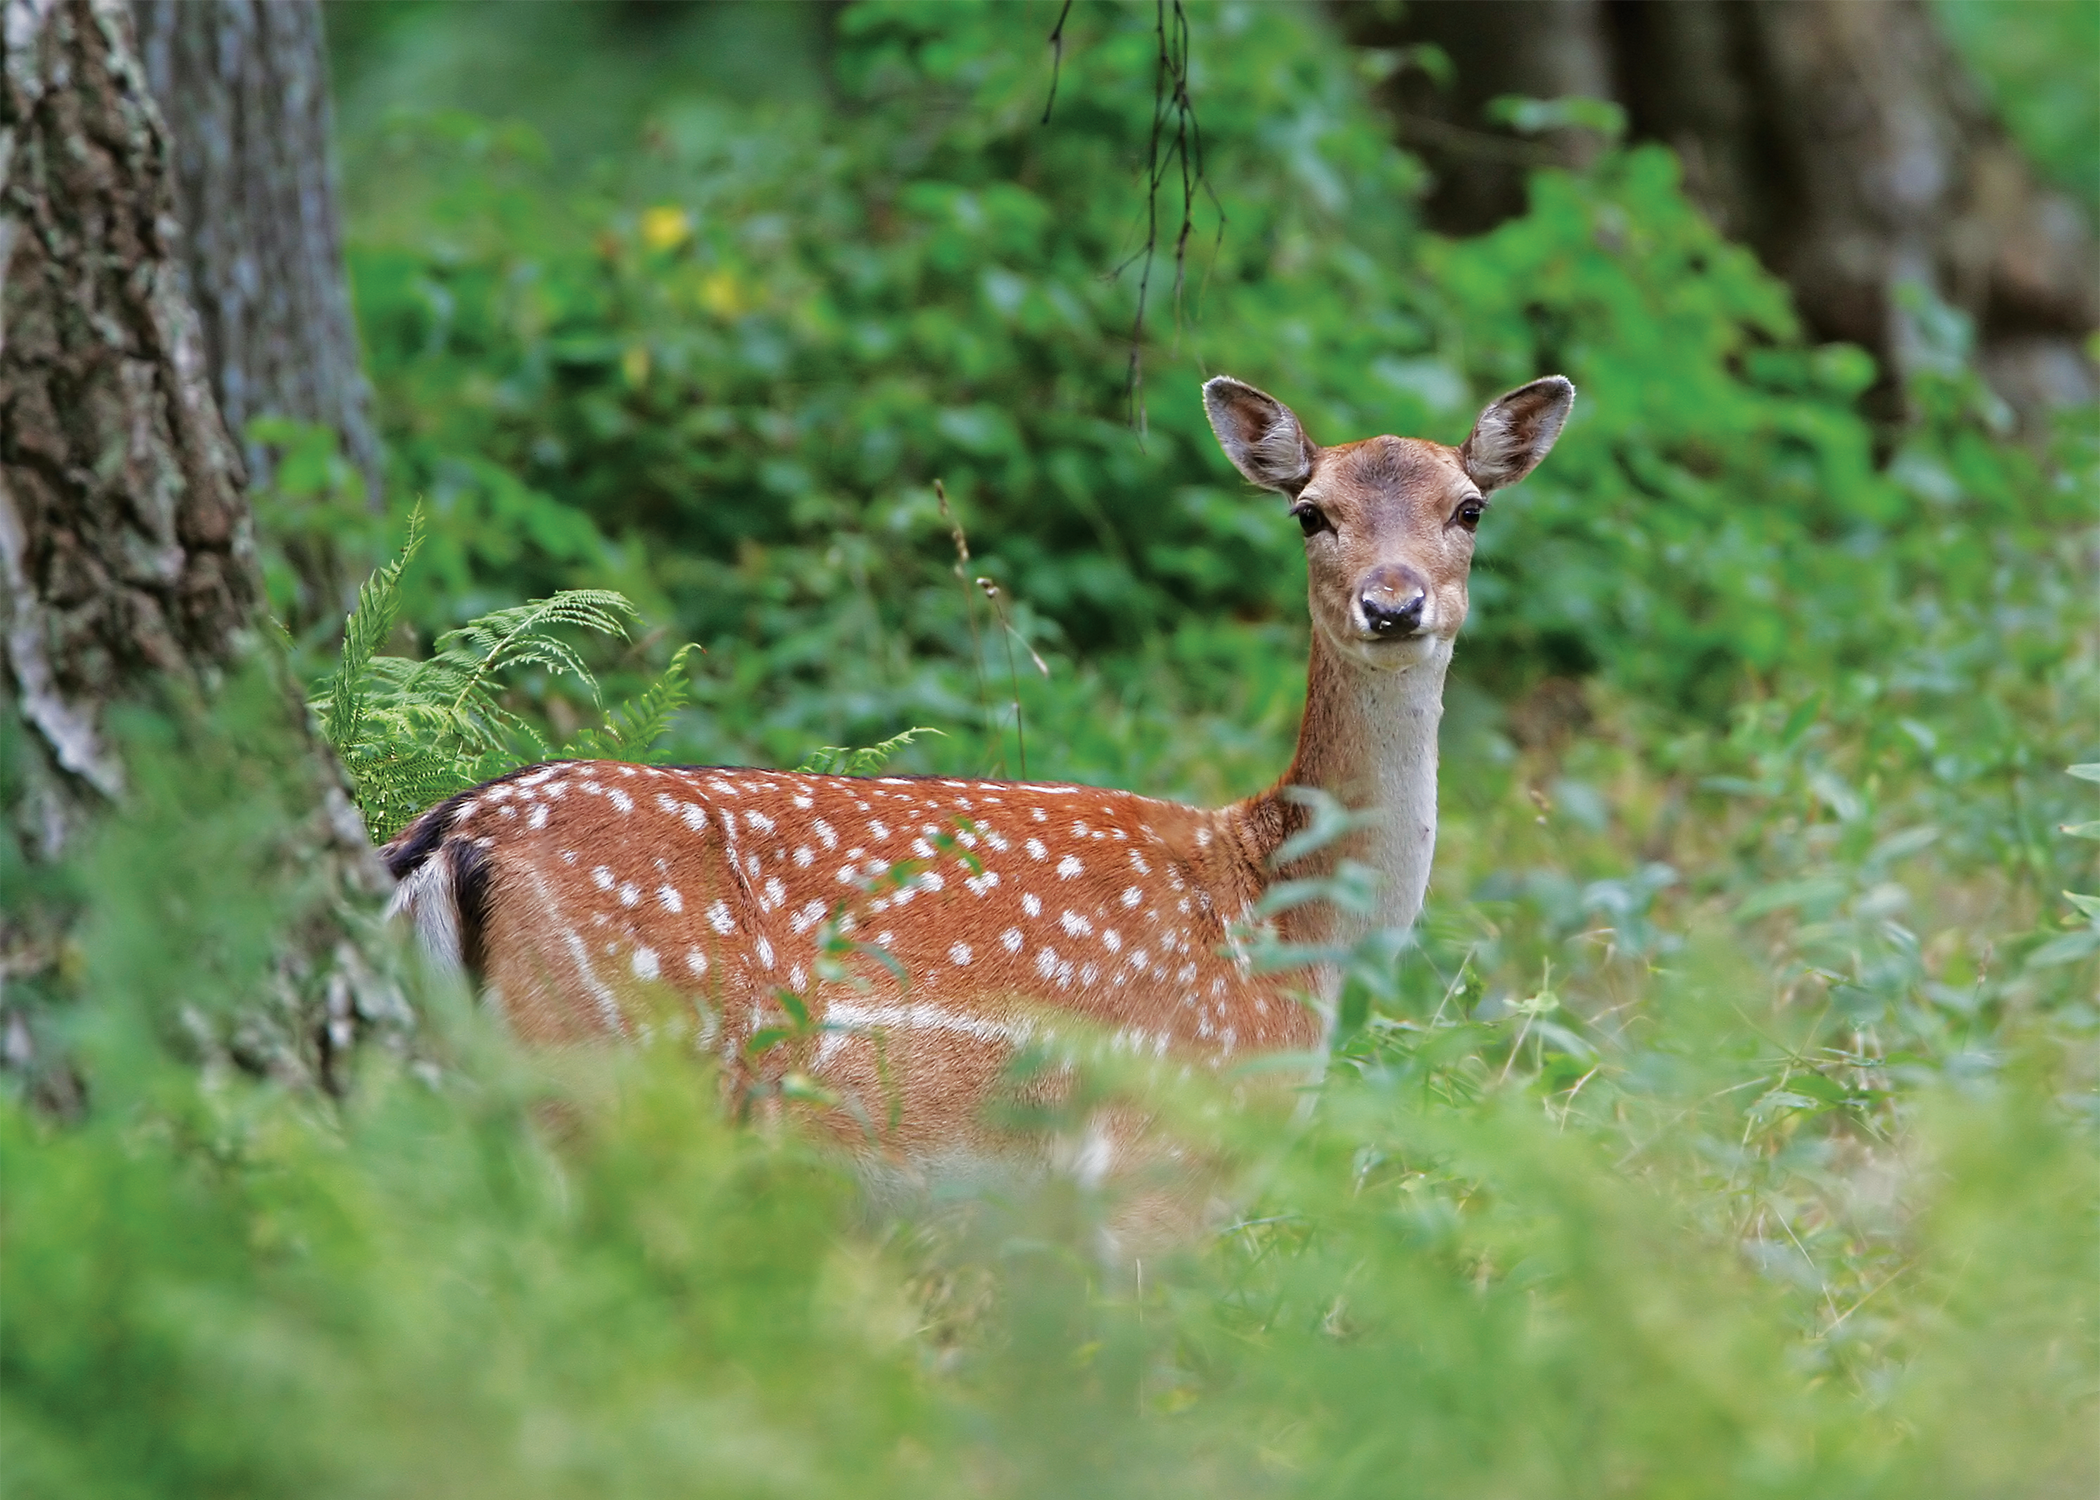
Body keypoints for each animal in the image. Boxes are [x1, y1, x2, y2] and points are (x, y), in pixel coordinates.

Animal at [390, 371, 1579, 1159]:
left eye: (1469, 507)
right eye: (1309, 513)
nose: (1394, 603)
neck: (1289, 924)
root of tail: (443, 839)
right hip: (607, 1063)